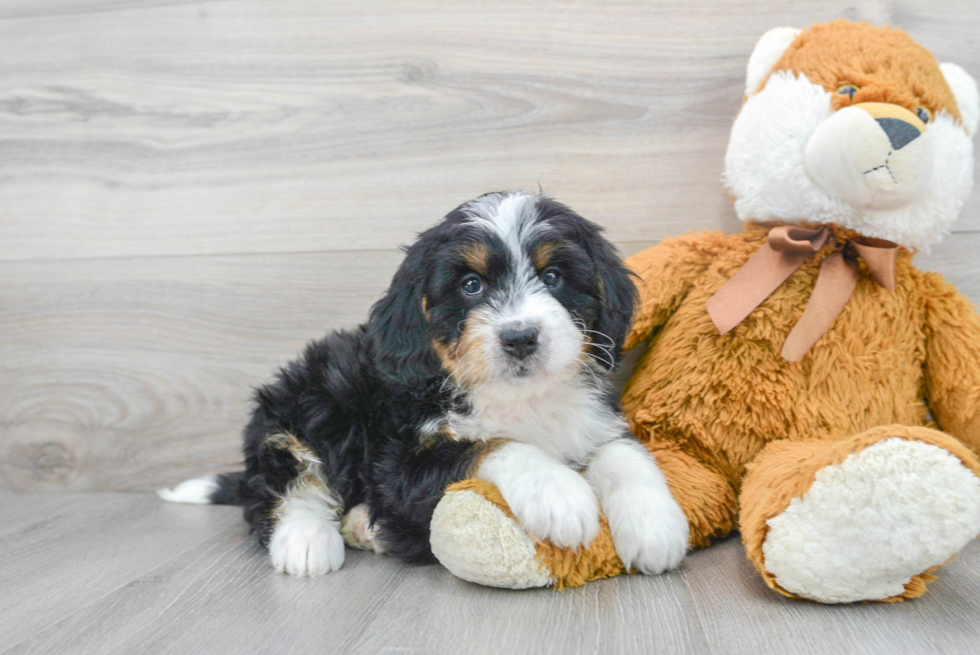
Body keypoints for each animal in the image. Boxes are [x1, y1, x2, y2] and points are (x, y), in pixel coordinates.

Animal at [161, 191, 688, 580]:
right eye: (471, 285)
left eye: (554, 275)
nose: (520, 337)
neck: (516, 398)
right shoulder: (398, 463)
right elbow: (492, 444)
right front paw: (557, 491)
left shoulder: (593, 419)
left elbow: (622, 454)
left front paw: (653, 522)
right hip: (307, 399)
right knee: (283, 479)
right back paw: (308, 540)